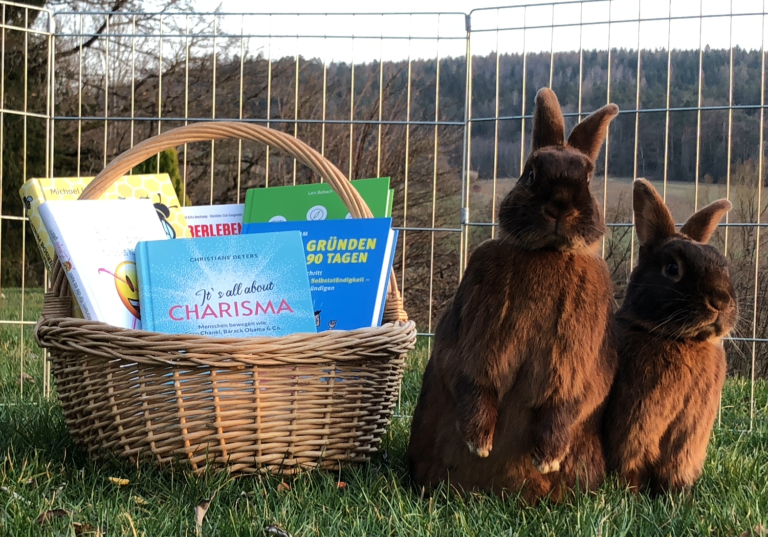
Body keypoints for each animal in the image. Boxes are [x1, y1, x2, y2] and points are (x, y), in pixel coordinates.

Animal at [408, 88, 616, 502]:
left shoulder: (578, 368)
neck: (547, 253)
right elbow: (474, 383)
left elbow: (567, 403)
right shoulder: (473, 346)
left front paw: (547, 459)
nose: (559, 206)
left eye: (587, 178)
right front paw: (480, 444)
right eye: (531, 172)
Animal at [604, 179, 736, 494]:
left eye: (723, 264)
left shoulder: (688, 440)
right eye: (672, 268)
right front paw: (632, 494)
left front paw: (679, 495)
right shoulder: (634, 430)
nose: (721, 301)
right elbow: (631, 464)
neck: (680, 339)